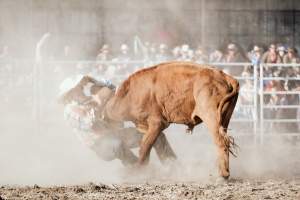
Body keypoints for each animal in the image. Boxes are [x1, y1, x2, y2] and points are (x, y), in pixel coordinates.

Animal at [104, 61, 240, 178]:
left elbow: (145, 147)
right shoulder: (144, 126)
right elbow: (154, 144)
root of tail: (226, 77)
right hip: (224, 118)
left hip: (210, 115)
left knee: (220, 141)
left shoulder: (158, 123)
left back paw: (223, 174)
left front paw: (137, 171)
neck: (130, 94)